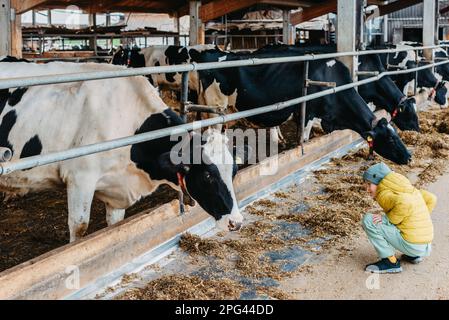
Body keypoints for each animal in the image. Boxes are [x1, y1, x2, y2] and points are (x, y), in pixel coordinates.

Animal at [0, 57, 243, 242]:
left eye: (233, 171)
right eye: (208, 175)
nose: (236, 222)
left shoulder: (117, 190)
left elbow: (113, 225)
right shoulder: (80, 178)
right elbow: (79, 228)